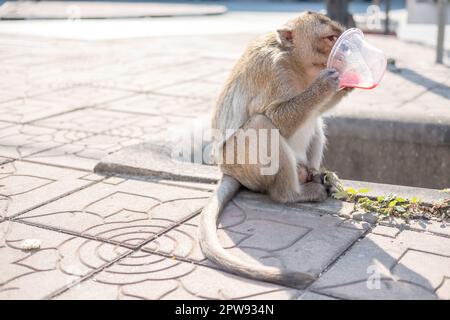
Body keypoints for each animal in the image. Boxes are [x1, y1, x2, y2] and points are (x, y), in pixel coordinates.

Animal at [198, 11, 352, 288]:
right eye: (331, 38)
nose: (344, 51)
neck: (296, 61)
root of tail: (227, 170)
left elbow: (319, 111)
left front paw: (348, 82)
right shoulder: (273, 70)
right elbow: (274, 117)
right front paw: (324, 86)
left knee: (316, 121)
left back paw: (317, 175)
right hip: (242, 164)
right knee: (262, 124)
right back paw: (292, 194)